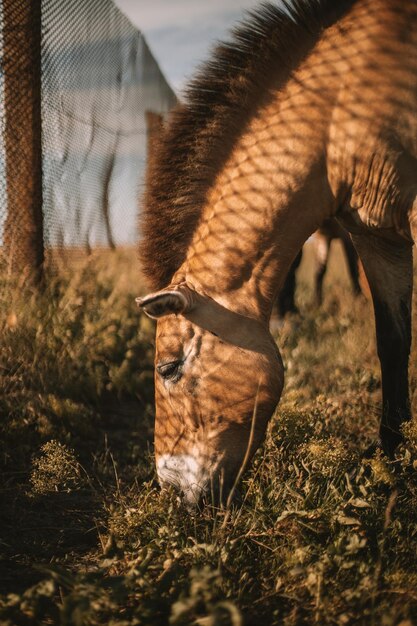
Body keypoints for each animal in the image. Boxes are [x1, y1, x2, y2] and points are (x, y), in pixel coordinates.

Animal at [138, 0, 416, 504]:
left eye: (168, 368)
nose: (170, 489)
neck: (338, 106)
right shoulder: (378, 238)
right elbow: (392, 341)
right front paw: (392, 462)